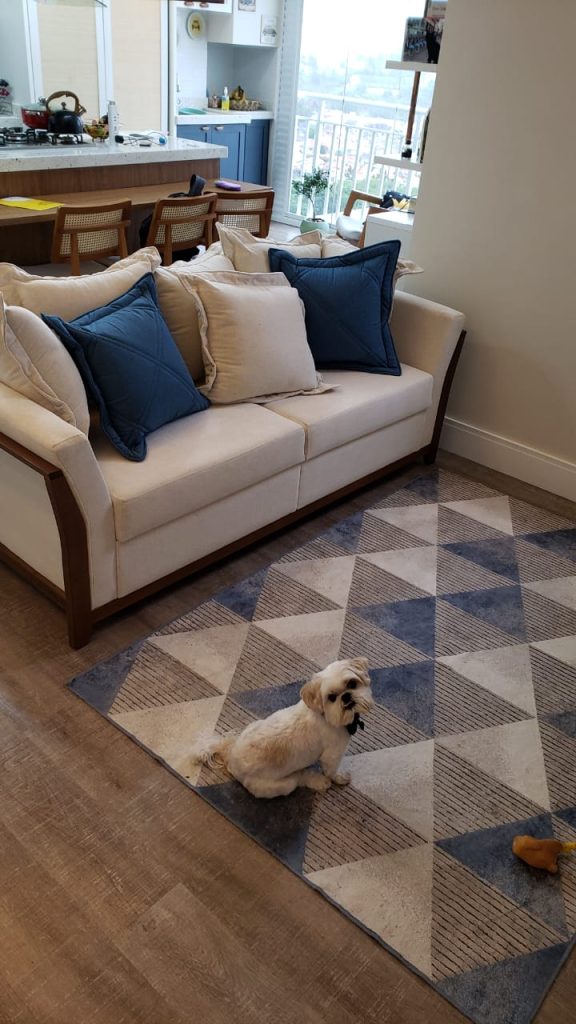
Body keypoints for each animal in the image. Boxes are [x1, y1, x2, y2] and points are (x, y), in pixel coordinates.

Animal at [193, 657, 373, 799]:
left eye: (352, 683)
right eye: (332, 697)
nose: (346, 696)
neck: (325, 716)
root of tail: (230, 756)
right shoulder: (332, 754)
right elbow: (332, 770)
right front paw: (339, 777)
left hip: (254, 724)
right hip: (281, 785)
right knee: (299, 778)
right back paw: (318, 781)